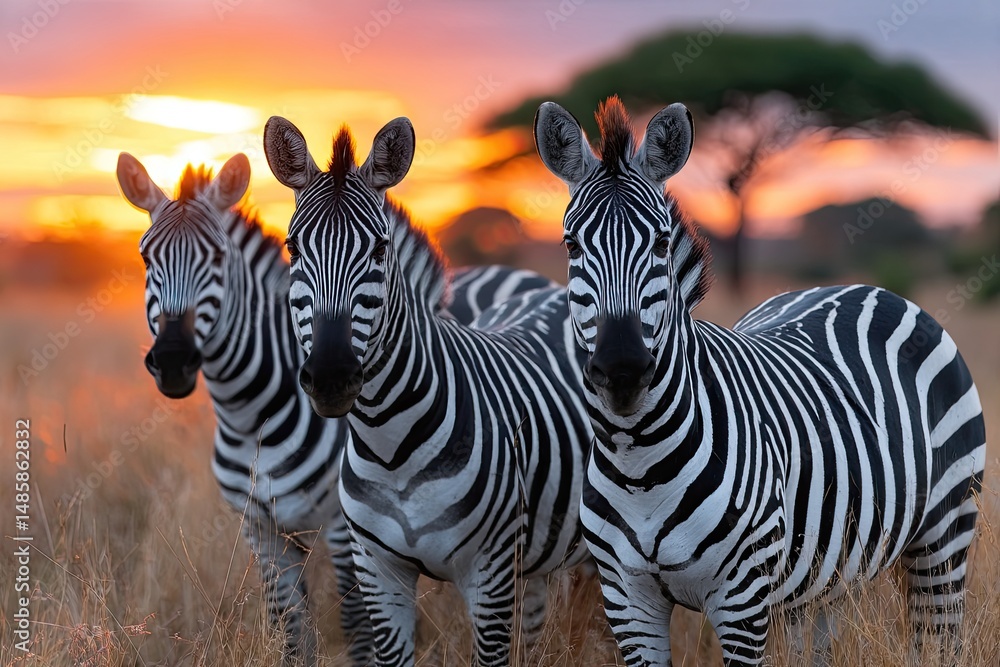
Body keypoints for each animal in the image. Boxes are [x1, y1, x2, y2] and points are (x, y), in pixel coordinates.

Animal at [115, 152, 554, 667]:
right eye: (146, 258)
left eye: (219, 259)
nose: (172, 361)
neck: (251, 418)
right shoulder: (261, 529)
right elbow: (288, 625)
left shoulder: (344, 529)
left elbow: (355, 624)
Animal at [262, 115, 595, 667]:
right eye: (292, 248)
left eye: (379, 248)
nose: (331, 377)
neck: (390, 445)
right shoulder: (379, 573)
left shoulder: (489, 576)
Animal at [533, 97, 985, 666]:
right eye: (571, 246)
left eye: (660, 242)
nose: (622, 367)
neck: (638, 463)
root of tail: (867, 287)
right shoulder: (626, 598)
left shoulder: (742, 598)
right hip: (826, 574)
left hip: (945, 533)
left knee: (939, 637)